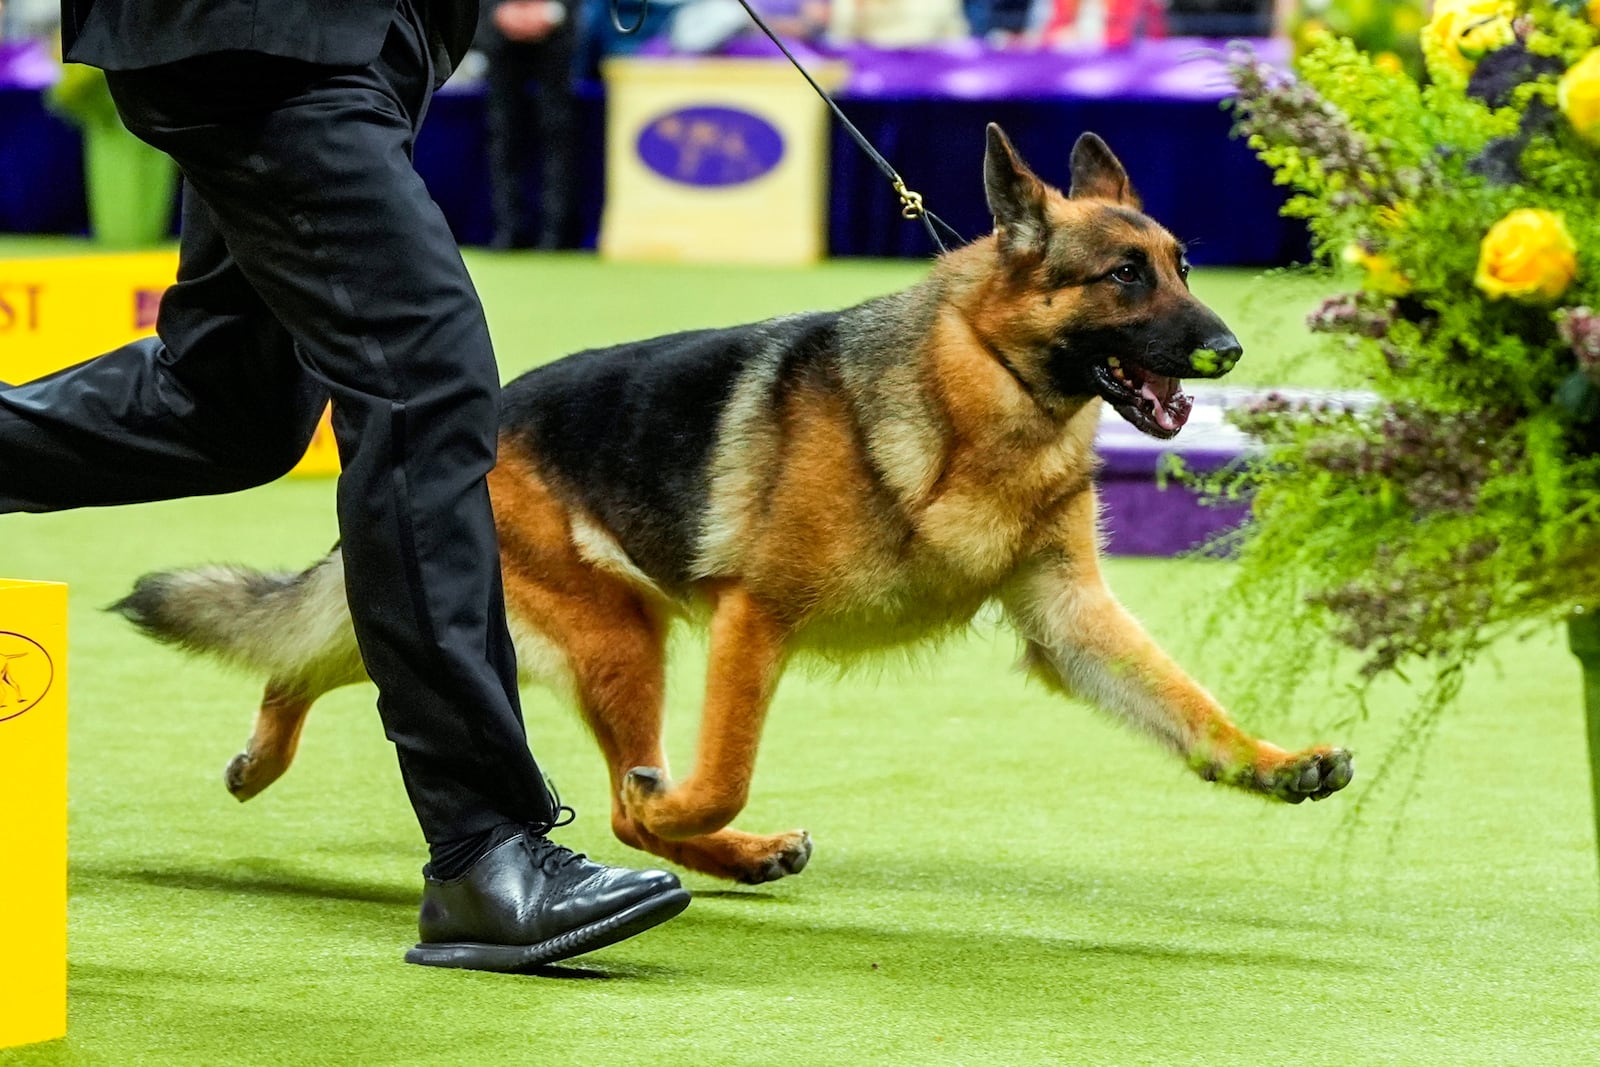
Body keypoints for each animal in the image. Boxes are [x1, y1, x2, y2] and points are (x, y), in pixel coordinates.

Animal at [118, 125, 1356, 883]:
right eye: (1123, 277)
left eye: (1182, 264)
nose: (1230, 349)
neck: (976, 395)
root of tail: (477, 420)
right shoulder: (753, 621)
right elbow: (716, 777)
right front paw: (686, 811)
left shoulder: (1070, 620)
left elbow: (1188, 703)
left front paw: (1271, 762)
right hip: (622, 636)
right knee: (618, 798)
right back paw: (683, 833)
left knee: (319, 654)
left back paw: (265, 750)